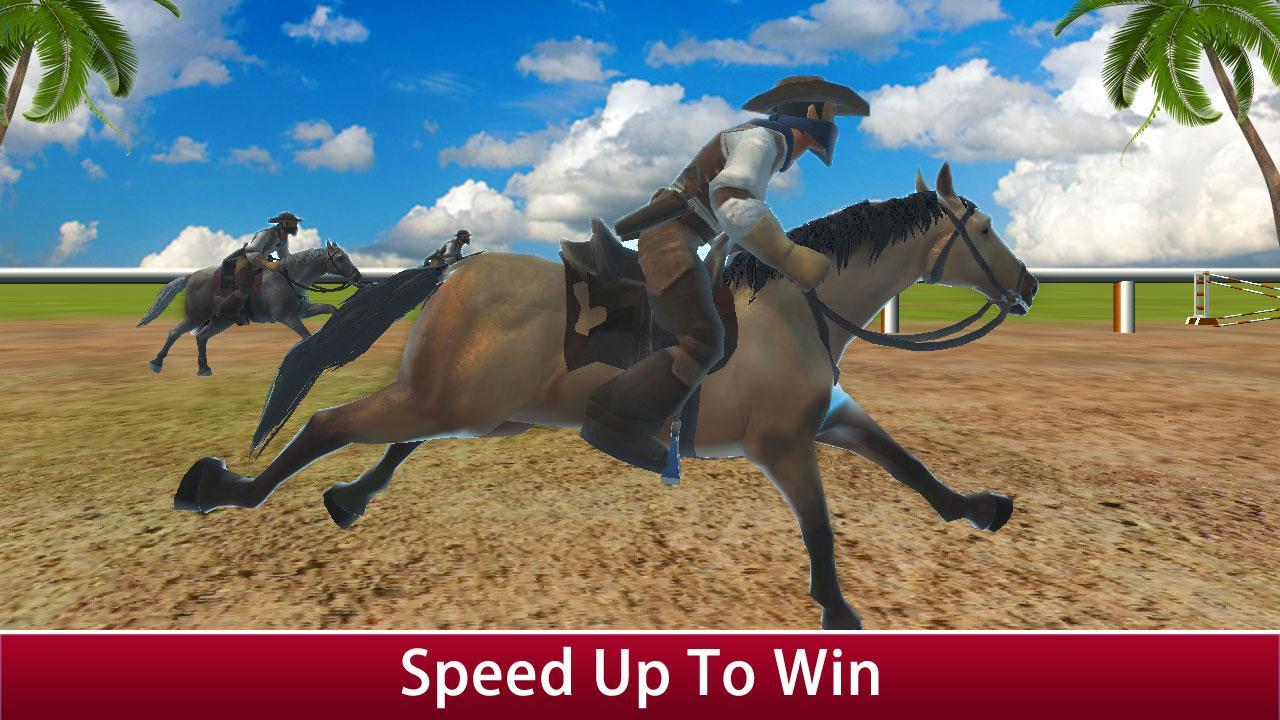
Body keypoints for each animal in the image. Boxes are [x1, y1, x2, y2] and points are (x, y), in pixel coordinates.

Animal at [137, 243, 364, 376]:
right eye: (340, 258)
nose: (357, 276)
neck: (289, 278)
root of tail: (190, 276)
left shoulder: (303, 311)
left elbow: (331, 309)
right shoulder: (286, 316)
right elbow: (306, 336)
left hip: (222, 320)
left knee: (201, 337)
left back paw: (204, 368)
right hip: (196, 316)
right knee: (174, 332)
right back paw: (156, 362)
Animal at [173, 164, 1039, 629]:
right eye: (985, 228)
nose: (1030, 285)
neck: (799, 309)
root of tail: (457, 272)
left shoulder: (832, 419)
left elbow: (911, 467)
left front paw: (982, 508)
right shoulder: (783, 445)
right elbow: (821, 524)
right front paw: (836, 606)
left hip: (481, 411)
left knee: (391, 440)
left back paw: (344, 498)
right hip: (454, 404)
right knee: (328, 422)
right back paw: (221, 488)